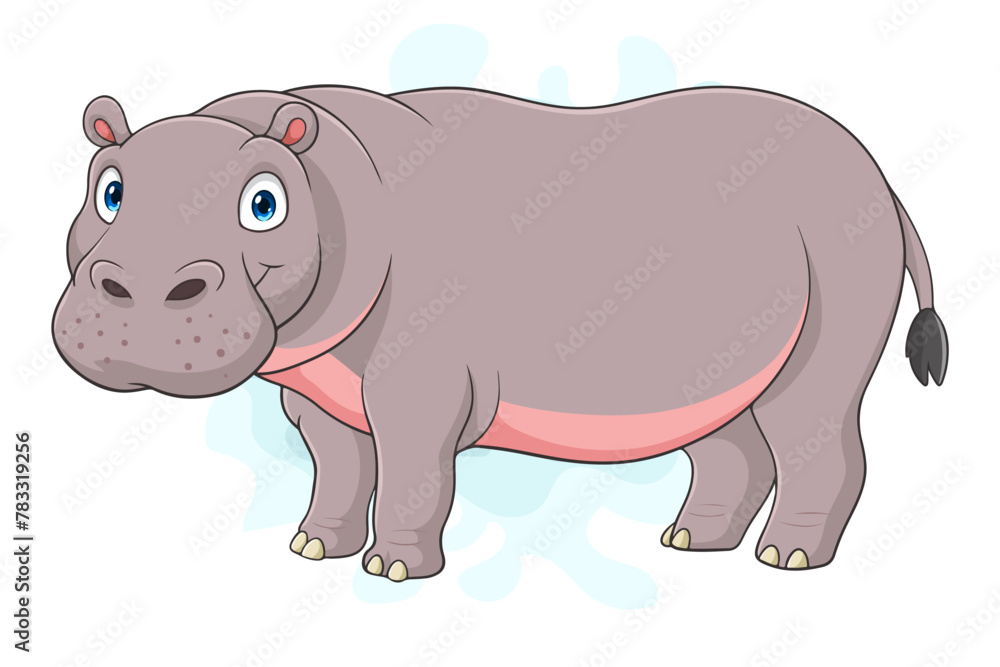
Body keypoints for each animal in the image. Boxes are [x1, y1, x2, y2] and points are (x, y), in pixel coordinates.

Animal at [53, 84, 948, 581]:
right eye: (108, 189)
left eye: (263, 202)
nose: (139, 291)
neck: (335, 181)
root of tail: (880, 175)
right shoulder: (317, 390)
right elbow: (338, 467)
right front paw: (313, 550)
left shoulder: (417, 385)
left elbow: (413, 472)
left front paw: (391, 571)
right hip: (718, 349)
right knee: (727, 436)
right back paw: (690, 541)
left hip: (840, 272)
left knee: (816, 426)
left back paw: (786, 561)